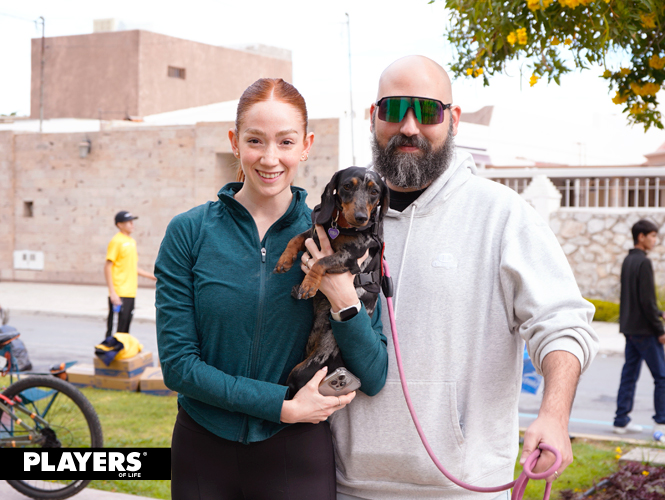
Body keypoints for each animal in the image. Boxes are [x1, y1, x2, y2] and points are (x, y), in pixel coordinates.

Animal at [274, 166, 390, 396]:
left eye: (375, 192)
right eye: (347, 186)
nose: (362, 218)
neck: (342, 227)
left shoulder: (349, 258)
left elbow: (321, 262)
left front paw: (309, 284)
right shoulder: (314, 233)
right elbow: (296, 238)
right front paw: (284, 260)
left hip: (300, 371)